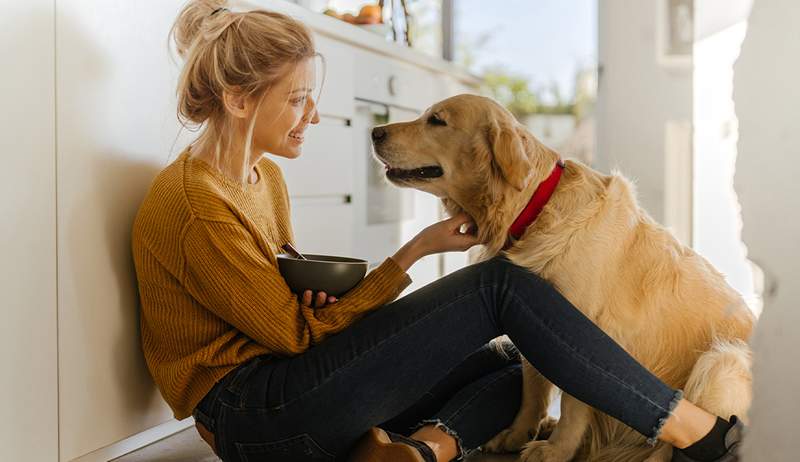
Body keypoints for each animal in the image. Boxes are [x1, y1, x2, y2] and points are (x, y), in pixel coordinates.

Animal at [370, 94, 756, 462]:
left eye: (436, 120)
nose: (375, 131)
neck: (534, 209)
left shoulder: (585, 322)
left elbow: (574, 401)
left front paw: (556, 450)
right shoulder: (531, 308)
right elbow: (532, 389)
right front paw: (519, 433)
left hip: (723, 360)